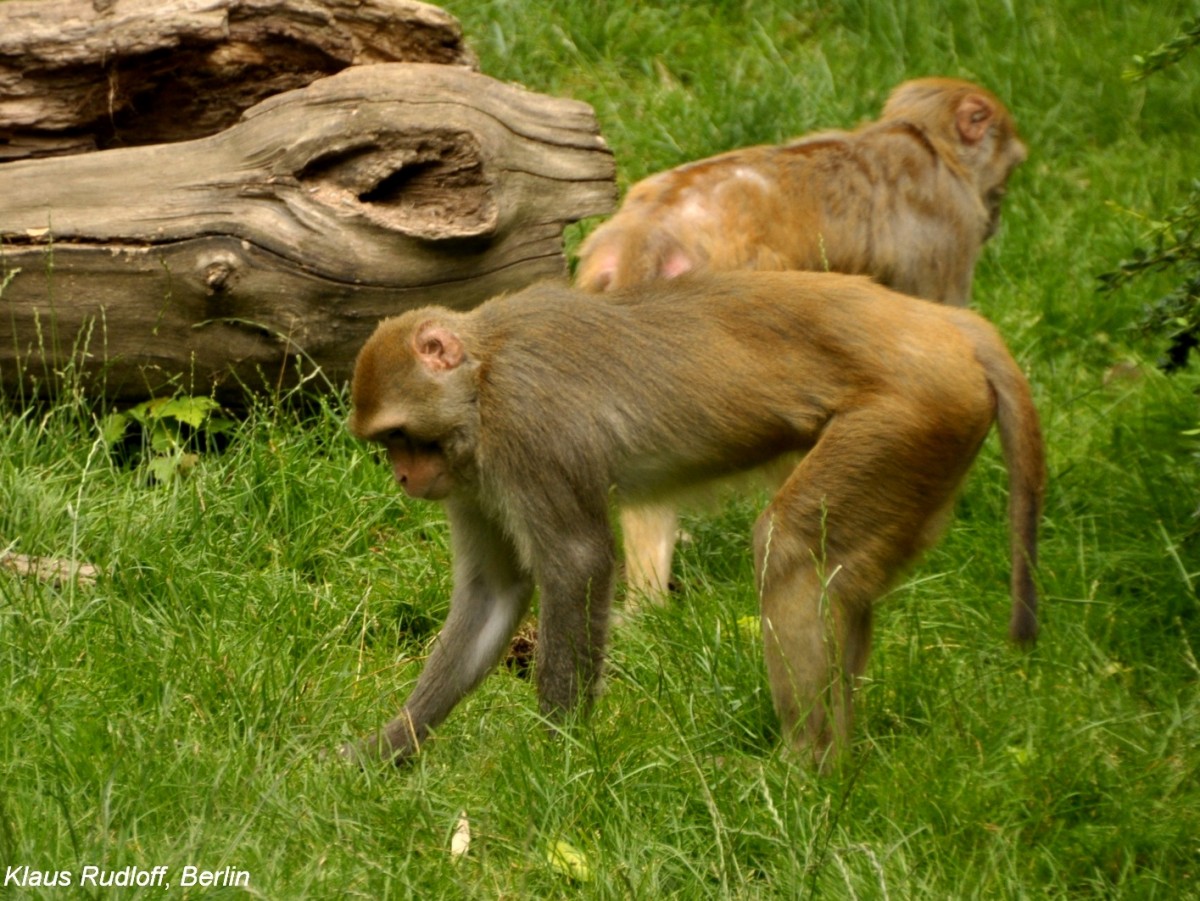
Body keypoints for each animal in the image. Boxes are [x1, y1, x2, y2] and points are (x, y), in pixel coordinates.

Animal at [345, 269, 1041, 767]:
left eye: (403, 437)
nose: (404, 477)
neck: (482, 376)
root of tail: (944, 322)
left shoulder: (527, 424)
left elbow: (576, 563)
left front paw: (556, 756)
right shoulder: (470, 479)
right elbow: (494, 593)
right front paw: (383, 752)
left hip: (908, 416)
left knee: (791, 549)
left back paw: (804, 770)